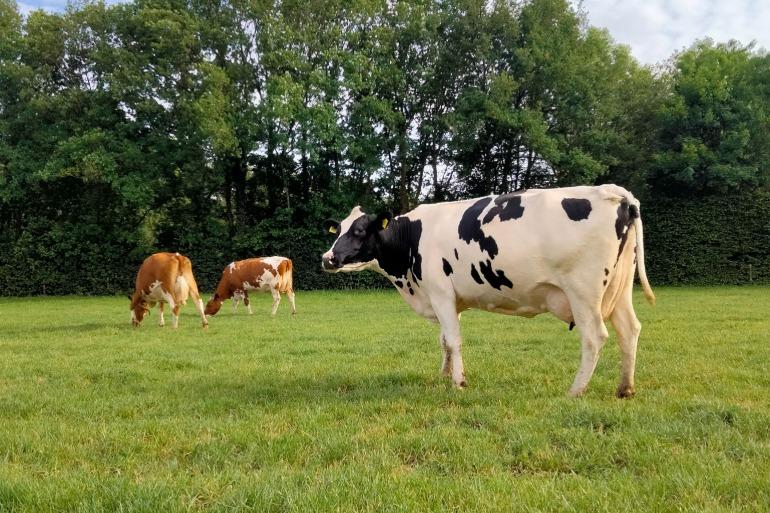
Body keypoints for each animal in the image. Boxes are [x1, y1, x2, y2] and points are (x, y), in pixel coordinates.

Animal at [321, 184, 655, 398]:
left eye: (359, 231)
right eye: (338, 230)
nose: (327, 258)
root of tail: (613, 191)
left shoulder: (440, 292)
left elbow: (454, 341)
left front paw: (458, 383)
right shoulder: (449, 300)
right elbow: (444, 341)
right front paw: (444, 375)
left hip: (583, 290)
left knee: (594, 337)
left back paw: (576, 390)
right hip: (620, 287)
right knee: (629, 329)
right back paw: (625, 389)